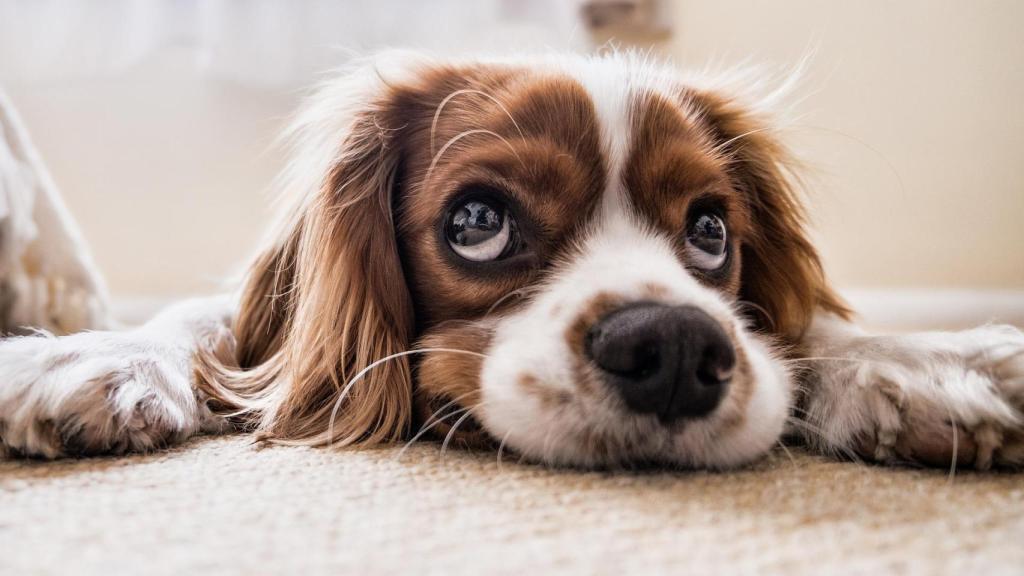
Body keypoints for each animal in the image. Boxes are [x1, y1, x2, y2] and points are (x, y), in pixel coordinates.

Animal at [2, 51, 1024, 469]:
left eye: (710, 232)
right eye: (478, 221)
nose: (675, 348)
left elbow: (810, 330)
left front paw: (926, 363)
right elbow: (205, 322)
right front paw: (91, 356)